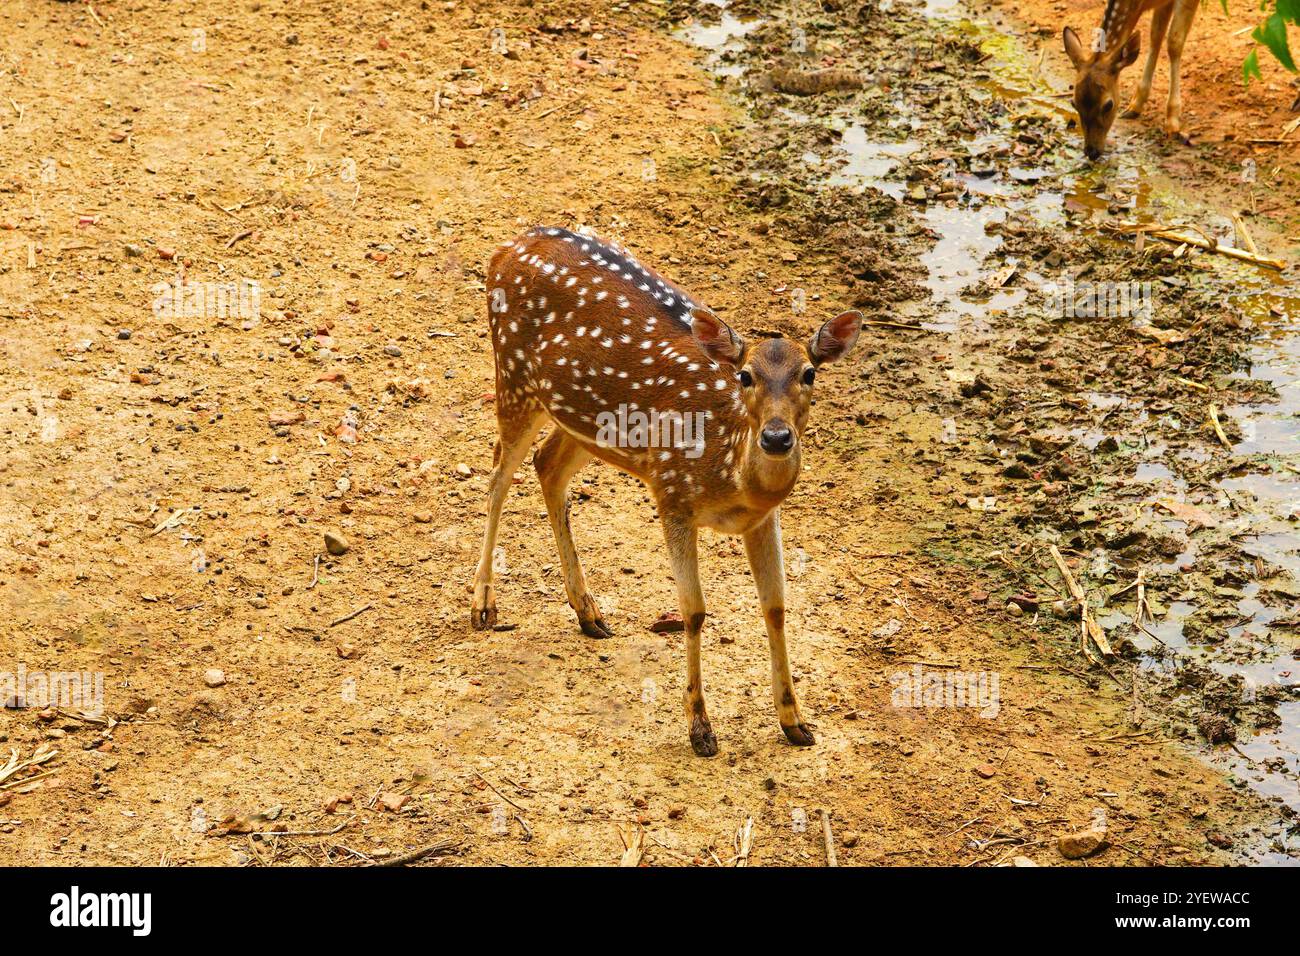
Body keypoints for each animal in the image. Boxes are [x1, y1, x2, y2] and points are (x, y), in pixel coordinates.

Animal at [471, 226, 863, 757]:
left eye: (810, 373)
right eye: (745, 375)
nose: (777, 437)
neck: (732, 474)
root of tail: (508, 246)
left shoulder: (763, 519)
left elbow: (777, 607)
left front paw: (795, 722)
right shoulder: (672, 494)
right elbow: (693, 611)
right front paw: (700, 728)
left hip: (582, 423)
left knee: (547, 466)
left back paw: (589, 612)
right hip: (512, 376)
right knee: (496, 476)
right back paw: (483, 606)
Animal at [1063, 0, 1198, 159]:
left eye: (1108, 105)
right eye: (1073, 103)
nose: (1091, 152)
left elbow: (1174, 42)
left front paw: (1172, 122)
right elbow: (1155, 35)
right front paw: (1135, 106)